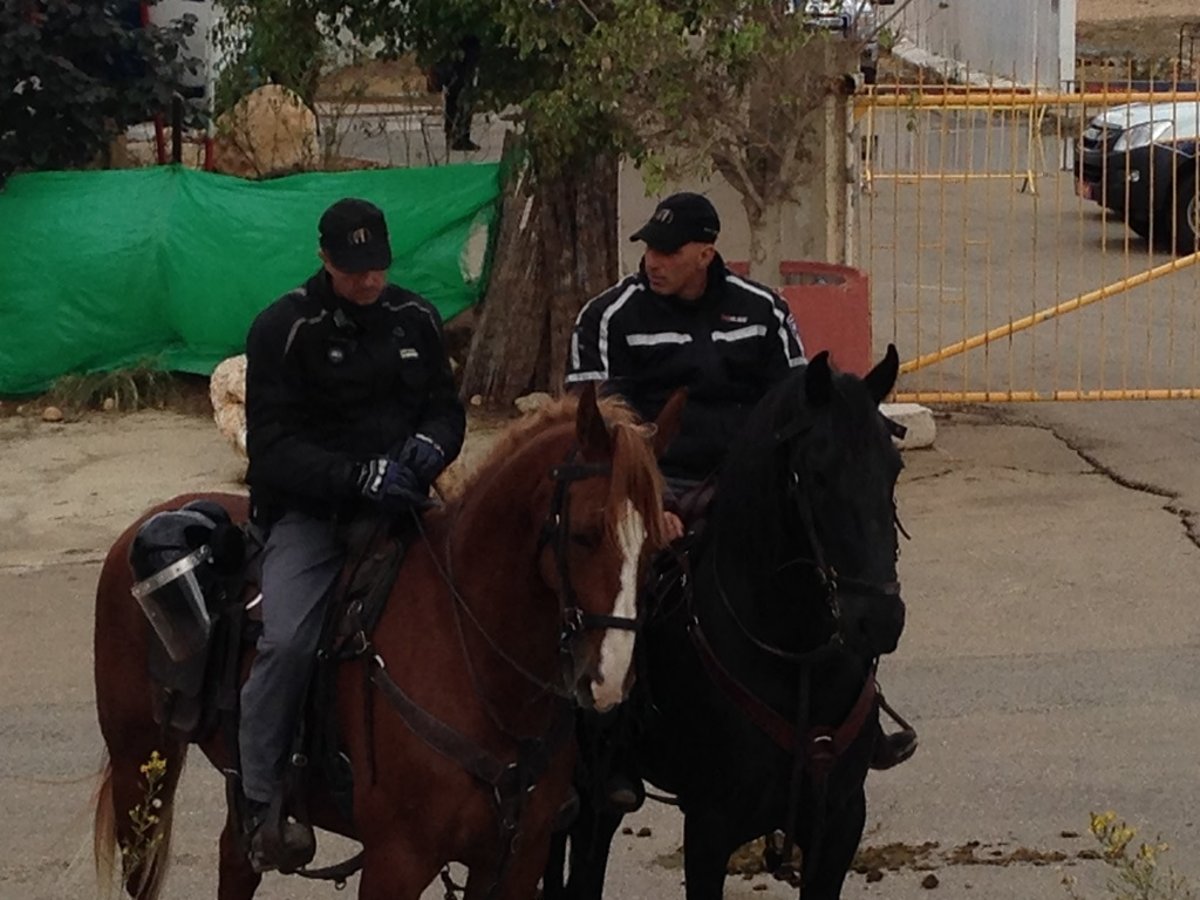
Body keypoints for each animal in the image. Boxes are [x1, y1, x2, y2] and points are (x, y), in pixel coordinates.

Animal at [91, 388, 686, 900]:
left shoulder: (514, 862)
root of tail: (143, 526)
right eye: (585, 533)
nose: (608, 678)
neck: (474, 665)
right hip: (140, 767)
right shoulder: (397, 862)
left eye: (658, 544)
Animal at [549, 348, 902, 900]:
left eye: (894, 468)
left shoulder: (841, 824)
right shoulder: (710, 828)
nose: (882, 619)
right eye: (816, 474)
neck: (797, 667)